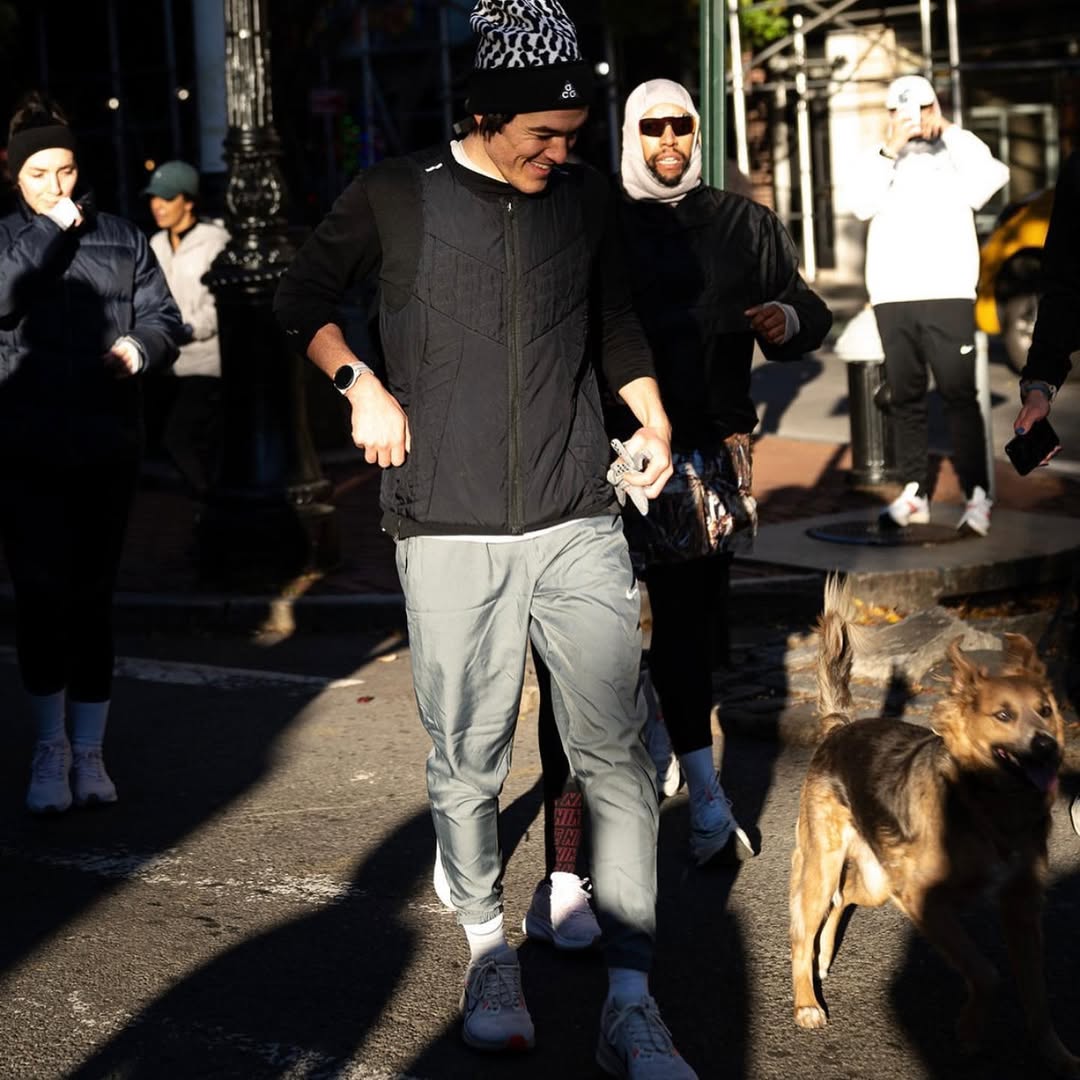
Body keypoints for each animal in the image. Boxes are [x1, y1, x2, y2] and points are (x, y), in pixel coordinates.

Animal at [789, 575, 1078, 1075]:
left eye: (1045, 710)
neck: (986, 803)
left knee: (843, 898)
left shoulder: (1022, 909)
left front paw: (1056, 1055)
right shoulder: (925, 899)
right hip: (825, 866)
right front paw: (970, 1030)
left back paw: (825, 955)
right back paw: (806, 1000)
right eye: (1003, 715)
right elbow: (987, 973)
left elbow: (1037, 999)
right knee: (802, 931)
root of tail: (838, 728)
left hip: (877, 881)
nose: (1047, 747)